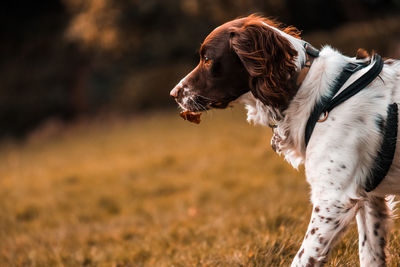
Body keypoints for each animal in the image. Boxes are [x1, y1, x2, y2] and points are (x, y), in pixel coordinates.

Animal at [169, 15, 400, 267]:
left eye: (208, 59)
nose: (174, 93)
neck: (310, 93)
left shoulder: (333, 199)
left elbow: (302, 258)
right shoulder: (370, 198)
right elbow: (369, 255)